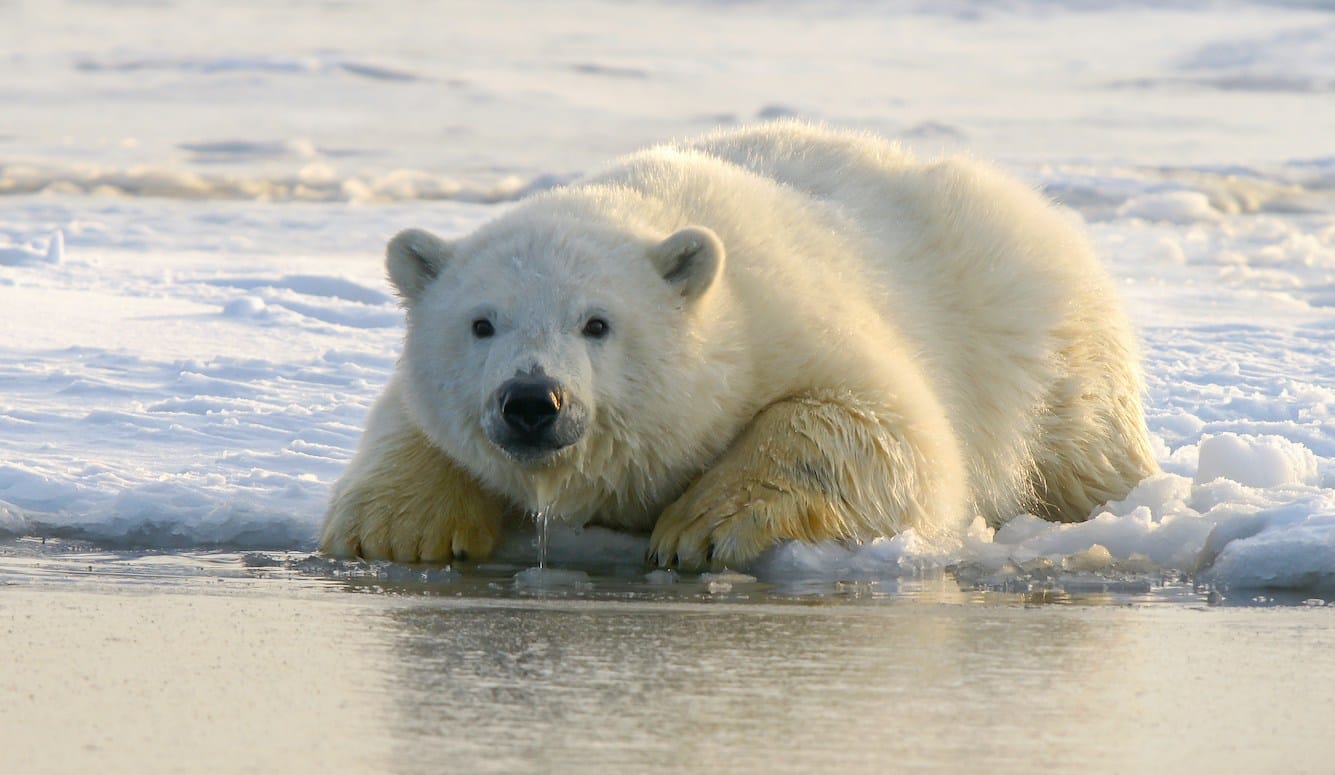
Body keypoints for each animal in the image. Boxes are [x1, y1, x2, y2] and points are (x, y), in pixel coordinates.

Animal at [320, 120, 1158, 568]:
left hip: (1038, 338)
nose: (532, 400)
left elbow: (884, 430)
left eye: (596, 322)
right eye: (481, 322)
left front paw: (699, 528)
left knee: (1082, 445)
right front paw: (396, 529)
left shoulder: (791, 320)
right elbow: (406, 420)